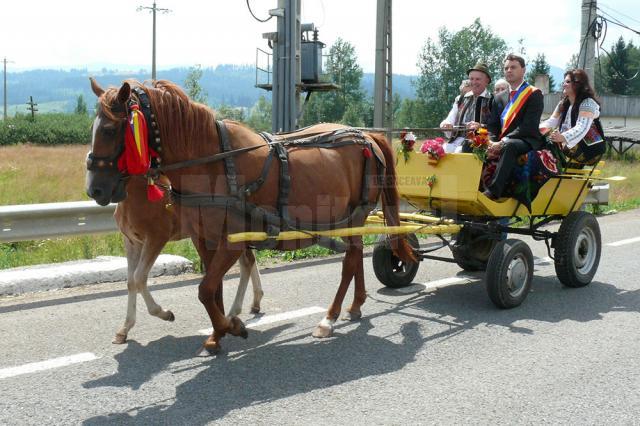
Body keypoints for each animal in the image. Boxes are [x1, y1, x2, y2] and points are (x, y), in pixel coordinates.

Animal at [109, 175, 264, 344]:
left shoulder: (156, 238)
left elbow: (139, 278)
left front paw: (166, 314)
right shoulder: (132, 242)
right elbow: (131, 282)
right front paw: (124, 330)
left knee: (247, 262)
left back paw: (234, 312)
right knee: (249, 260)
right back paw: (253, 303)